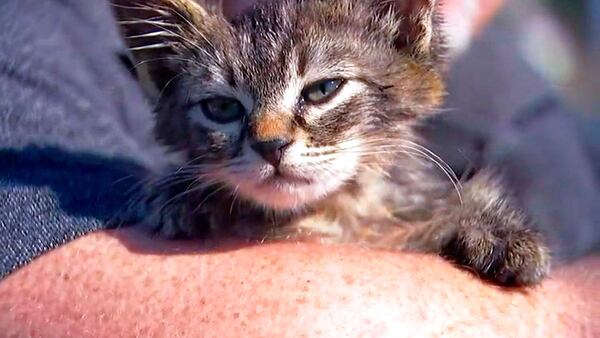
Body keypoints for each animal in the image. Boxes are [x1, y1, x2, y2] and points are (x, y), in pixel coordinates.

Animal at [111, 0, 548, 286]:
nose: (271, 145)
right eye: (221, 108)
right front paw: (185, 195)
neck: (328, 215)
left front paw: (495, 231)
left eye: (323, 90)